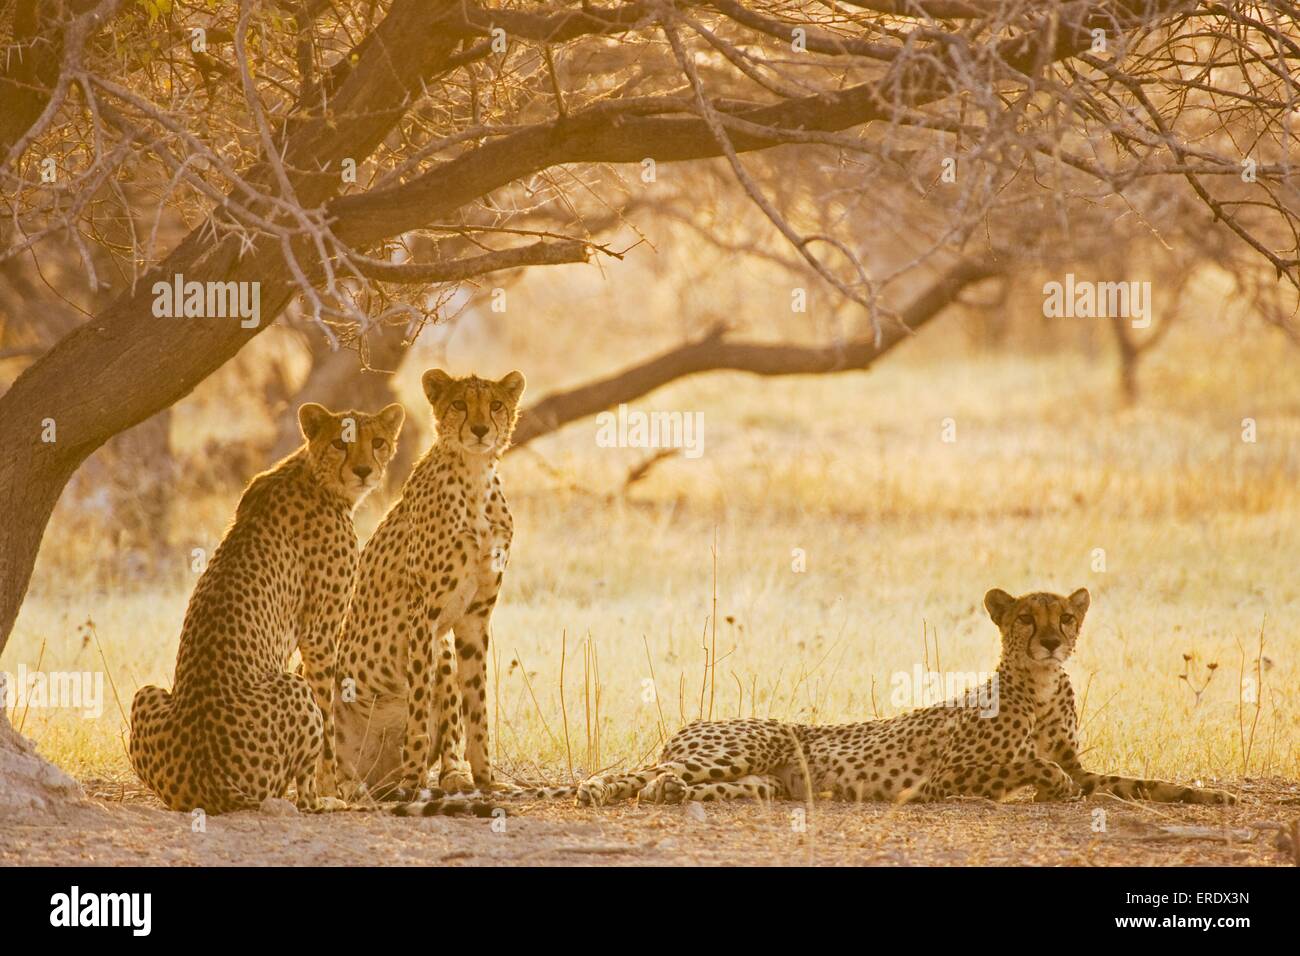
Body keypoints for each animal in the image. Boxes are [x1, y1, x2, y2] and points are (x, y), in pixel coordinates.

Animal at [127, 403, 403, 816]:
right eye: (341, 443)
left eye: (379, 442)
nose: (363, 470)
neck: (312, 473)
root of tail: (211, 784)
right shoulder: (320, 635)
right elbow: (329, 719)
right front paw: (333, 785)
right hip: (291, 687)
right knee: (304, 798)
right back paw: (327, 800)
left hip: (146, 694)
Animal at [327, 369, 525, 806]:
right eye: (459, 404)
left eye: (496, 404)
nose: (480, 429)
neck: (475, 478)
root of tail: (375, 776)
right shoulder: (423, 615)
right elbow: (417, 706)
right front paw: (416, 779)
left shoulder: (473, 620)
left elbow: (475, 706)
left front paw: (486, 779)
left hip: (445, 651)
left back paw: (454, 777)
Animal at [504, 590, 1227, 806]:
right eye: (1027, 617)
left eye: (1066, 617)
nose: (1051, 641)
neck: (1043, 686)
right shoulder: (952, 773)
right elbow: (1041, 769)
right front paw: (1058, 787)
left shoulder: (1080, 759)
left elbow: (1127, 781)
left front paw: (1203, 795)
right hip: (748, 744)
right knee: (643, 773)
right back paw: (610, 790)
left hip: (762, 782)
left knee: (671, 782)